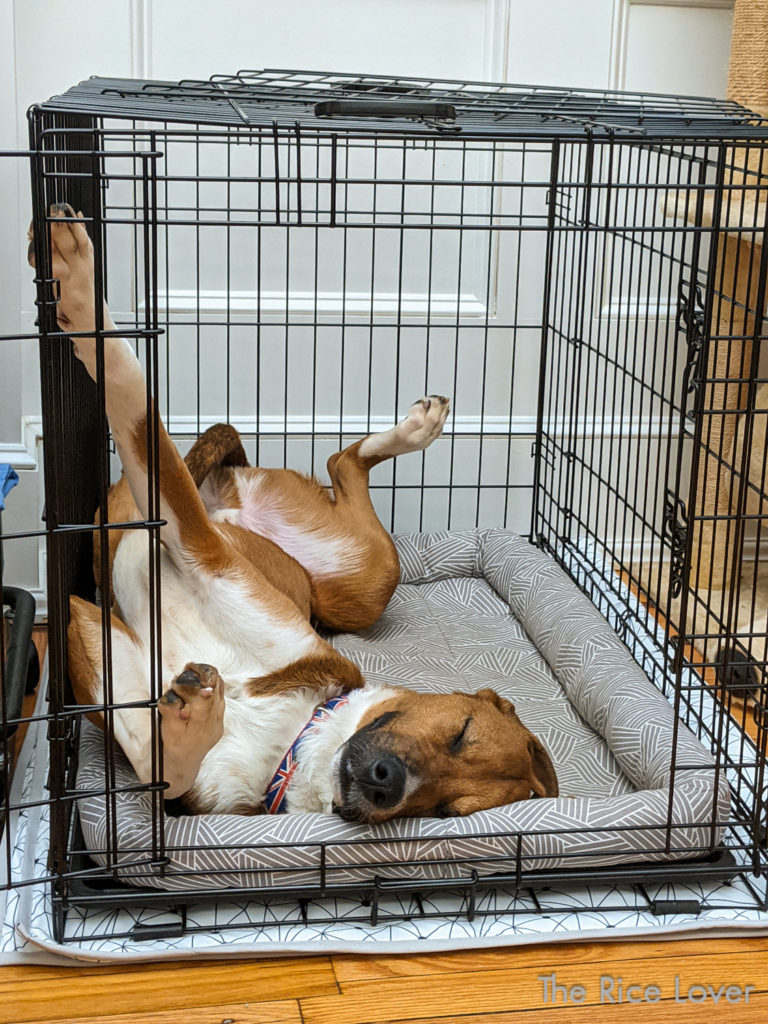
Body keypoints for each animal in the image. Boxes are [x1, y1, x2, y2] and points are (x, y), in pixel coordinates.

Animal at [30, 205, 561, 823]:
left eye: (446, 812)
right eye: (461, 731)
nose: (385, 783)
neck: (288, 740)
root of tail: (242, 487)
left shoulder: (114, 656)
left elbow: (158, 764)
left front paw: (188, 724)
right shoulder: (191, 546)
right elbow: (135, 398)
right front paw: (78, 280)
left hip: (356, 587)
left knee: (340, 462)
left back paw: (413, 429)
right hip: (364, 576)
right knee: (336, 461)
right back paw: (412, 430)